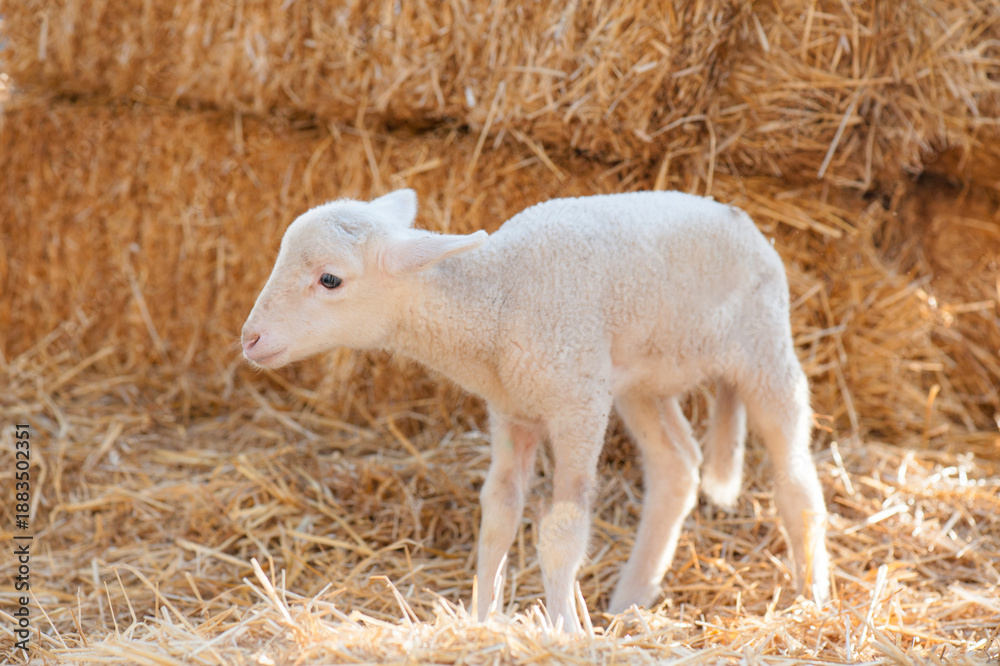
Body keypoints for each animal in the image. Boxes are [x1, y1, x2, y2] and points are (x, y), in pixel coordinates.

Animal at [241, 188, 830, 632]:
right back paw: (630, 600)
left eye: (330, 279)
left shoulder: (577, 405)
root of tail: (742, 218)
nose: (249, 339)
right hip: (640, 382)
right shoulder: (512, 411)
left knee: (796, 480)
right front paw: (482, 622)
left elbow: (562, 531)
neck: (500, 298)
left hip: (763, 348)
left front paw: (563, 632)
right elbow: (498, 516)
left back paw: (814, 600)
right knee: (676, 468)